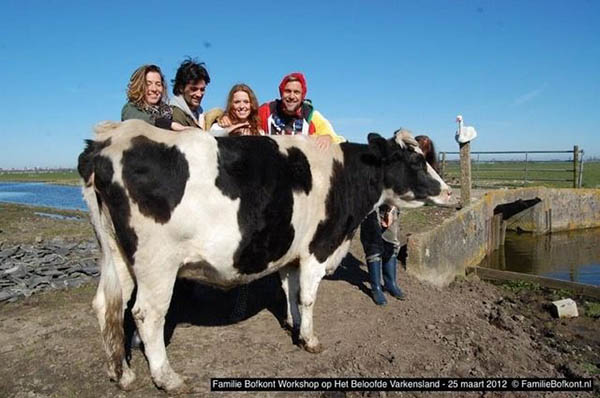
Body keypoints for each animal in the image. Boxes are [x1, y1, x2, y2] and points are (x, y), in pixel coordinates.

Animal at [77, 119, 452, 394]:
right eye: (416, 160)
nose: (450, 193)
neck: (344, 177)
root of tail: (109, 139)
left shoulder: (290, 254)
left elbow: (290, 291)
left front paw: (293, 326)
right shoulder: (317, 249)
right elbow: (308, 297)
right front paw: (310, 340)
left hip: (116, 254)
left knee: (106, 305)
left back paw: (122, 374)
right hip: (157, 262)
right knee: (147, 314)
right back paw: (167, 378)